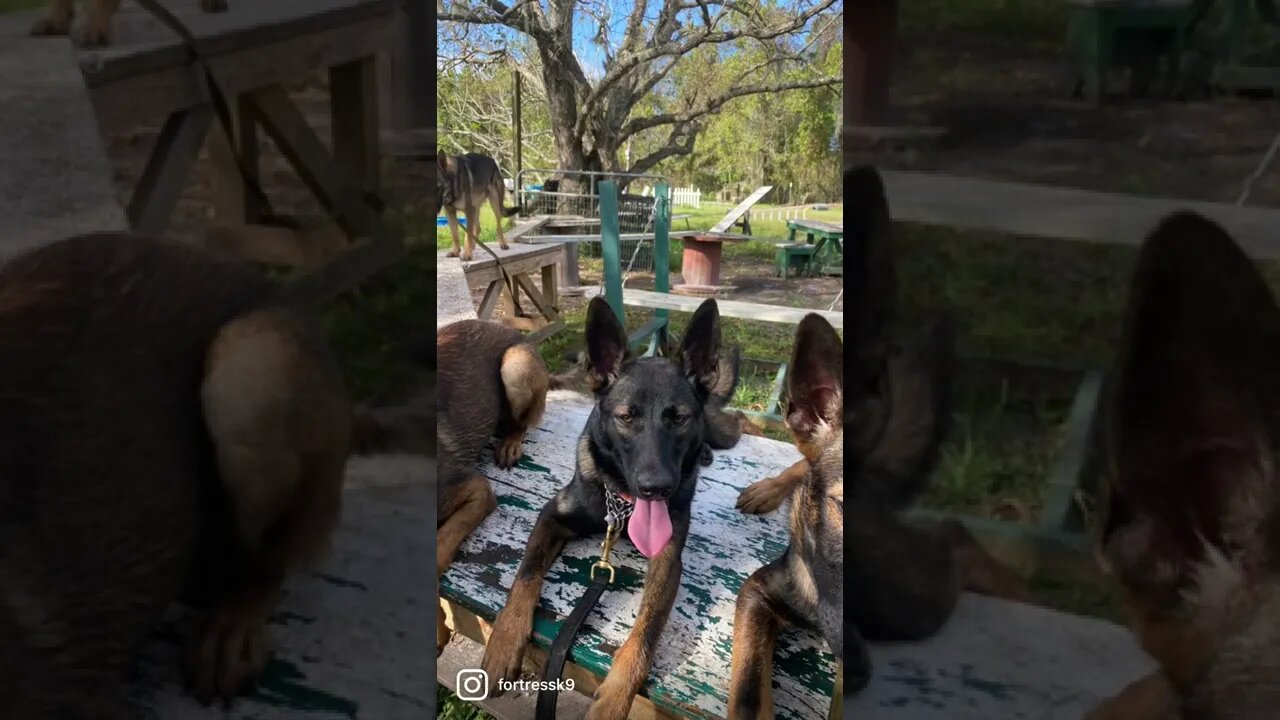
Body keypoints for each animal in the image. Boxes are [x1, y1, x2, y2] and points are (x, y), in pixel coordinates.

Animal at [481, 295, 742, 717]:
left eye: (679, 419)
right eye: (625, 418)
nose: (656, 488)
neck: (621, 502)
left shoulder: (667, 558)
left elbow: (646, 632)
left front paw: (615, 697)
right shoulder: (552, 516)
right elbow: (526, 575)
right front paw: (505, 641)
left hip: (720, 430)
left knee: (736, 421)